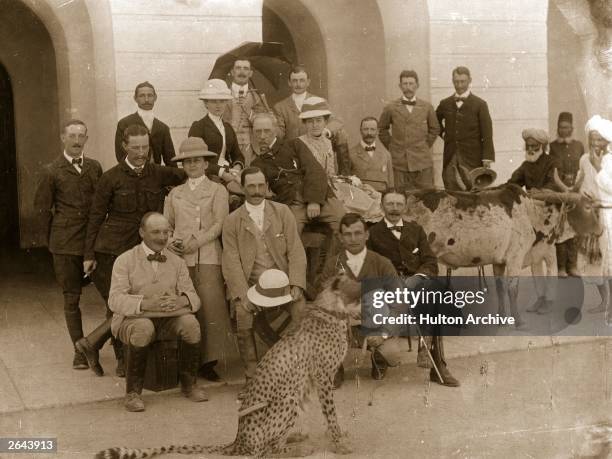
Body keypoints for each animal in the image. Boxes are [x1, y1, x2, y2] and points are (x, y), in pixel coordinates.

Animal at [95, 274, 360, 458]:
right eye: (356, 291)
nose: (367, 302)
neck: (332, 310)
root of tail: (238, 440)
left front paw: (339, 437)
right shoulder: (323, 378)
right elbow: (331, 413)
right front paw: (340, 443)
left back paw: (295, 437)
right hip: (288, 397)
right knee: (265, 451)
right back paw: (300, 448)